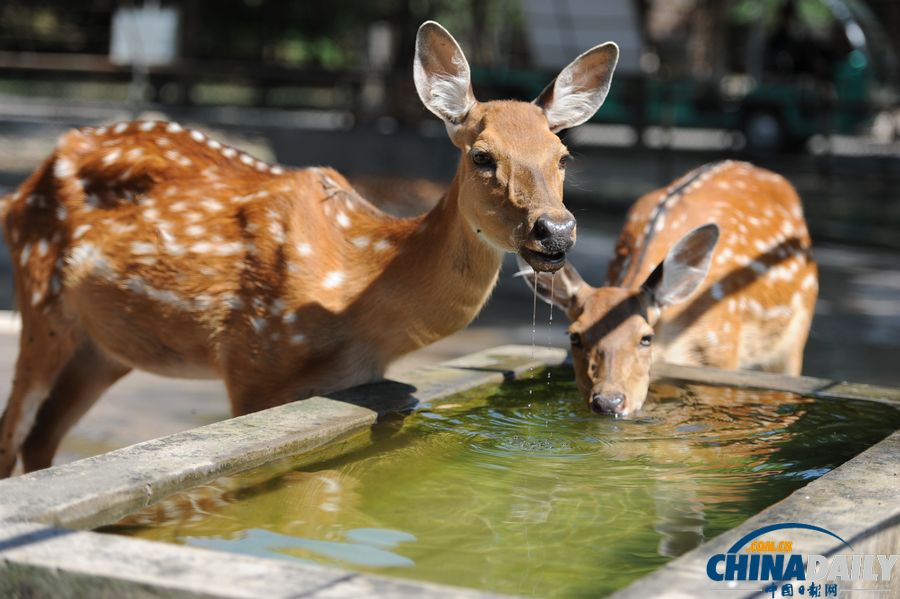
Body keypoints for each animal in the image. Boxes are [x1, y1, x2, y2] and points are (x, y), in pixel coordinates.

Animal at [0, 21, 620, 476]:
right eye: (482, 156)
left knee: (42, 438)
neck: (356, 291)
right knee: (14, 433)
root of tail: (20, 189)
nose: (555, 231)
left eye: (563, 157)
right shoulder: (251, 363)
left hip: (106, 345)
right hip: (40, 296)